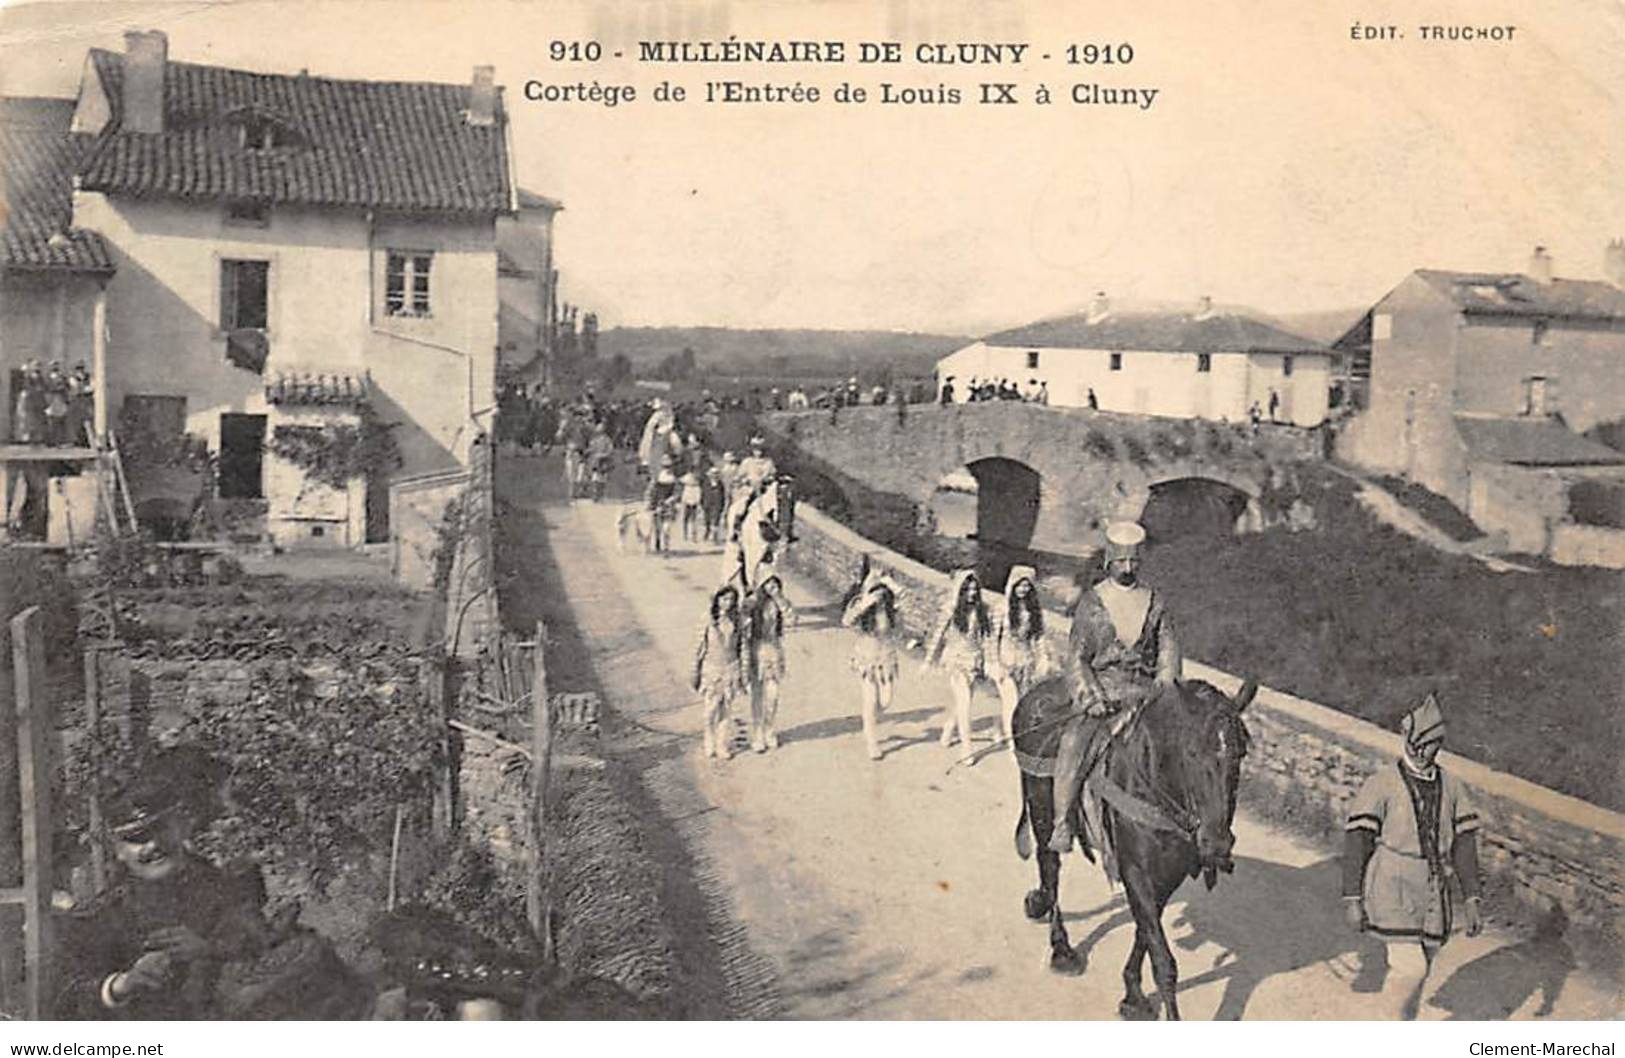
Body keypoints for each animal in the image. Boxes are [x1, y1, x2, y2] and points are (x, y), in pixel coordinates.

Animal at [1014, 676, 1254, 1020]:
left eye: (1241, 754)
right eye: (1192, 752)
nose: (1217, 843)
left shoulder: (1167, 877)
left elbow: (1145, 931)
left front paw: (1133, 993)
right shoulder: (1135, 871)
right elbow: (1164, 960)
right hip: (1042, 809)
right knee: (1050, 866)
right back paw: (1060, 946)